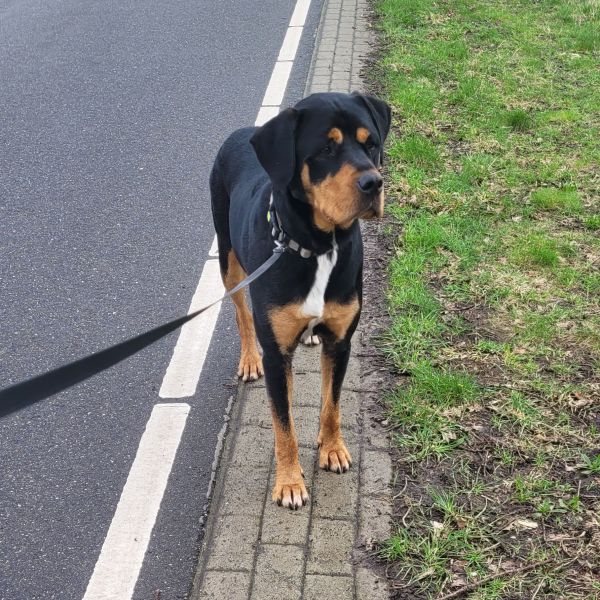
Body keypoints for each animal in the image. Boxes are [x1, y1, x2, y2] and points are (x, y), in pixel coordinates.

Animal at [209, 91, 392, 508]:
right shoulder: (277, 356)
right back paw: (248, 358)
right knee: (241, 313)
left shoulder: (341, 343)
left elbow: (332, 406)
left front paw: (333, 449)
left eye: (371, 143)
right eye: (326, 148)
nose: (373, 183)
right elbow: (284, 425)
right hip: (229, 260)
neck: (318, 247)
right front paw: (290, 482)